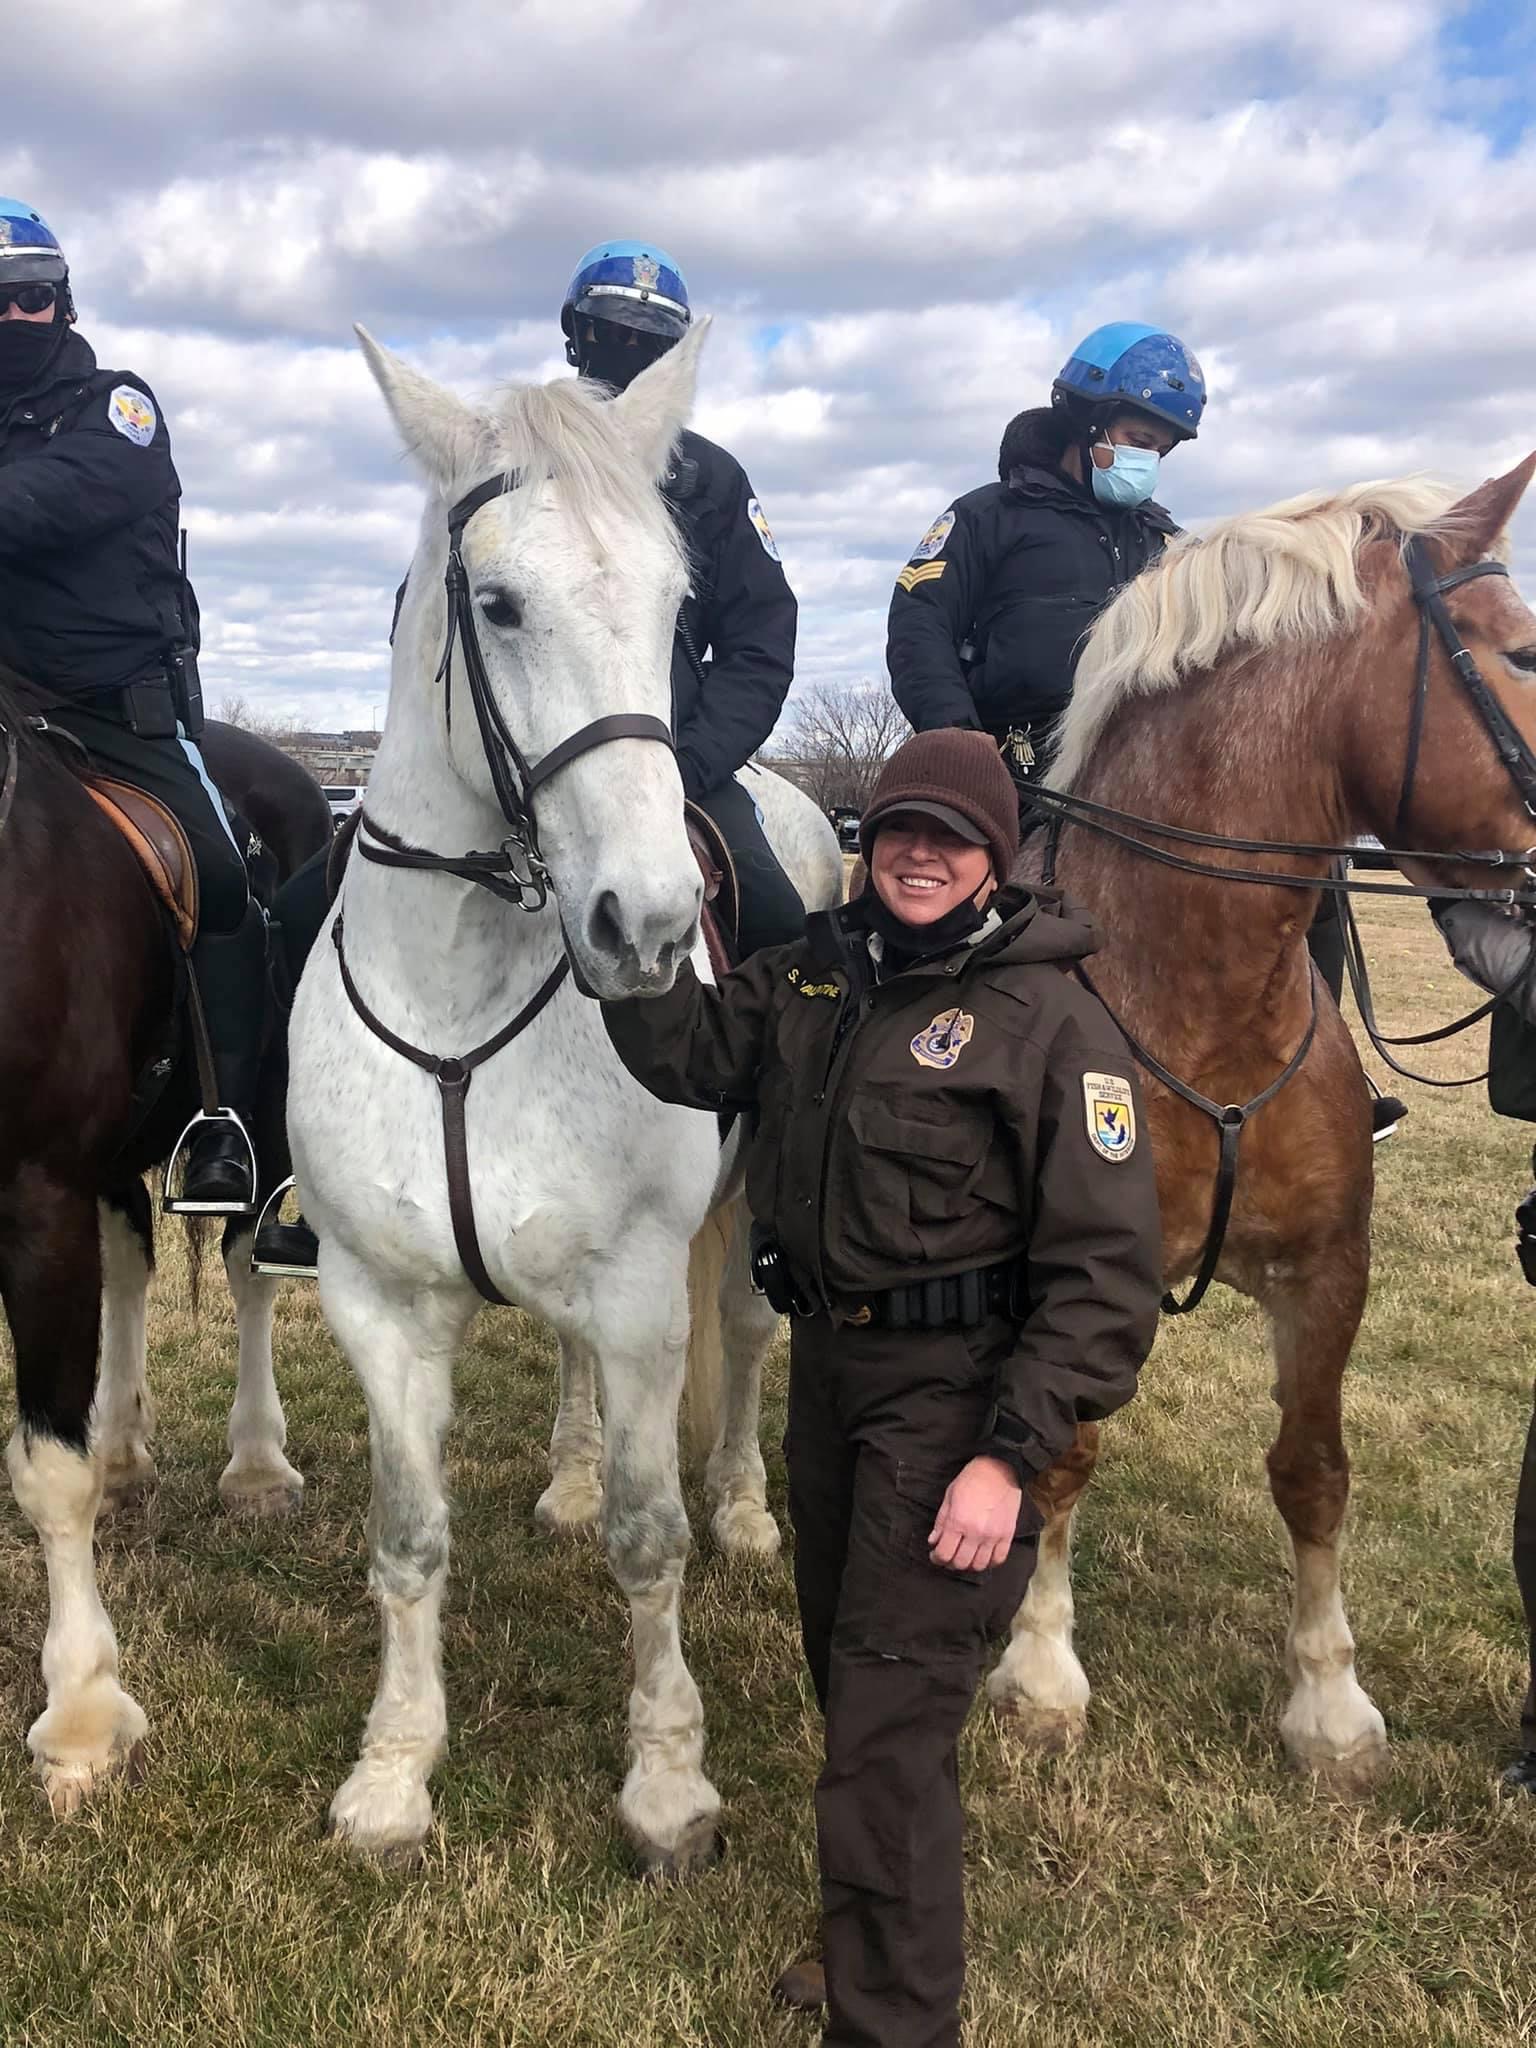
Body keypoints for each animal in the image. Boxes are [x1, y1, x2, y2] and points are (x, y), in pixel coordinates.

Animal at [0, 696, 331, 1818]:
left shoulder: (37, 1195)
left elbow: (46, 1468)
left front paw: (82, 1714)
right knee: (130, 1270)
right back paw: (124, 1454)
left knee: (248, 1270)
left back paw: (257, 1465)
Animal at [288, 327, 843, 1875]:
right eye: (498, 602)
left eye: (674, 602)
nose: (644, 926)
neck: (460, 1000)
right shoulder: (376, 1302)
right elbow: (406, 1537)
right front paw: (392, 1772)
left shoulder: (648, 1290)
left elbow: (650, 1543)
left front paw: (666, 1782)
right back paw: (571, 1472)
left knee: (746, 1343)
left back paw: (748, 1510)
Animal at [991, 456, 1536, 1785]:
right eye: (1520, 651)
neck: (1200, 1002)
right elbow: (1060, 1453)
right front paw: (1039, 1673)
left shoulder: (1325, 1272)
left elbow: (1314, 1471)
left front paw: (1330, 1704)